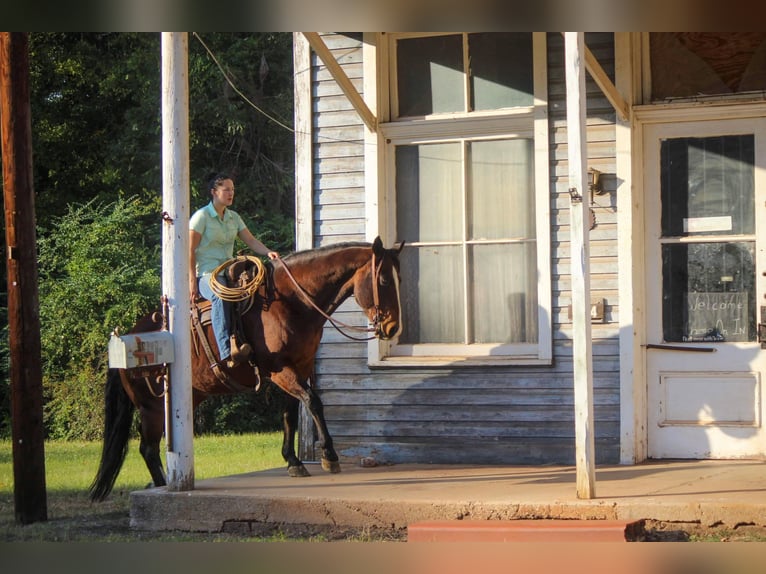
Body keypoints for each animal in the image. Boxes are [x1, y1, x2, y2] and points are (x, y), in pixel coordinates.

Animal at [90, 236, 404, 502]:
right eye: (384, 279)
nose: (392, 328)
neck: (290, 302)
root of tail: (130, 334)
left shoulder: (299, 367)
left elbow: (292, 413)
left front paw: (293, 461)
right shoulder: (279, 369)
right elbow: (314, 402)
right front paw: (329, 455)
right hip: (152, 407)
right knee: (149, 448)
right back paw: (162, 485)